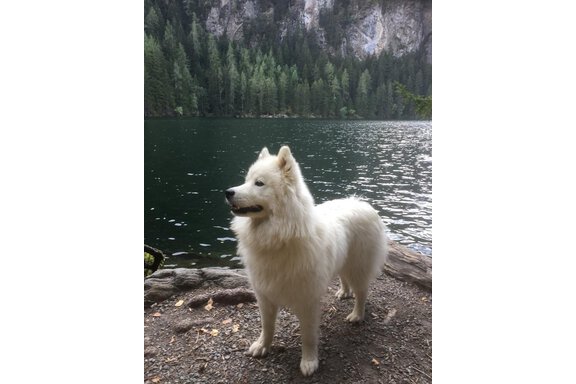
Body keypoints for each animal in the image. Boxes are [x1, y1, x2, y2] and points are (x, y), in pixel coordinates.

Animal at [224, 145, 388, 376]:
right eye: (246, 180)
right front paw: (263, 346)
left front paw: (309, 362)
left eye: (259, 183)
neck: (280, 237)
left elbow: (308, 336)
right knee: (345, 279)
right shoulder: (264, 294)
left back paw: (357, 314)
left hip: (358, 267)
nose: (228, 192)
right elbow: (267, 326)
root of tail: (363, 204)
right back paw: (343, 292)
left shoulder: (307, 300)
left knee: (362, 293)